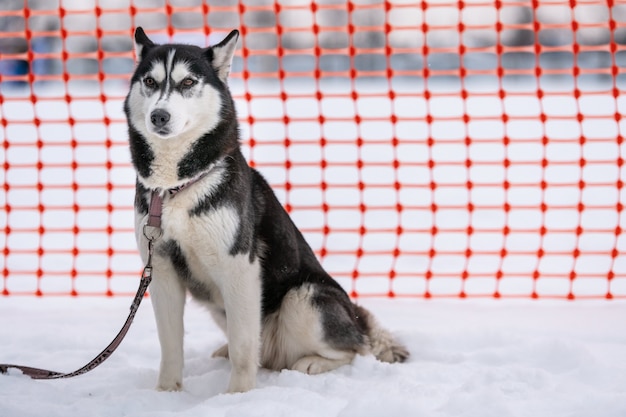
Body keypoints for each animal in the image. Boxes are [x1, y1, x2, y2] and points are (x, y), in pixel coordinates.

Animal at [124, 26, 408, 394]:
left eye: (187, 82)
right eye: (150, 81)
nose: (159, 116)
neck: (177, 187)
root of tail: (356, 317)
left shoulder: (239, 267)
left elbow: (245, 349)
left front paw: (237, 396)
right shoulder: (161, 268)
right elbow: (171, 345)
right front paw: (166, 394)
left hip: (303, 299)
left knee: (354, 349)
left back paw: (313, 362)